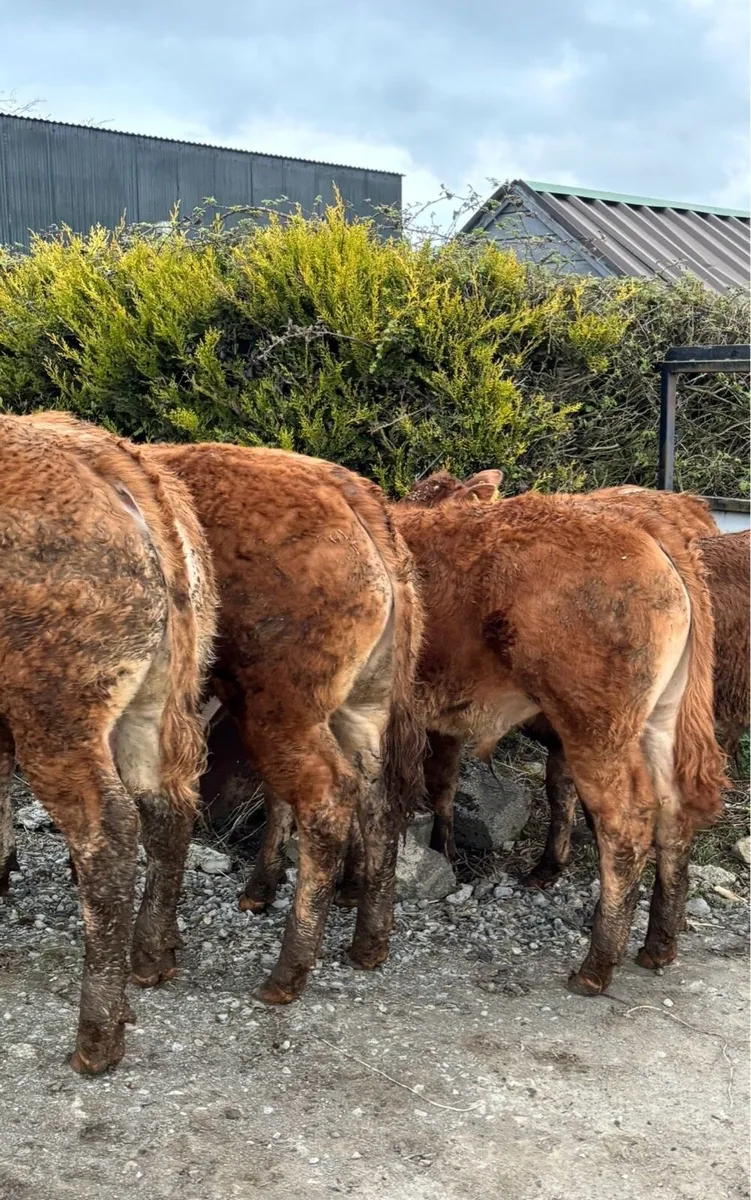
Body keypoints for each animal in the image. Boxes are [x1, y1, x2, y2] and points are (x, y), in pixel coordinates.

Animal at [0, 412, 217, 1074]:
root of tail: (96, 452)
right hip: (150, 700)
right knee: (168, 810)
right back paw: (150, 959)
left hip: (56, 713)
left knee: (110, 832)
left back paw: (97, 1036)